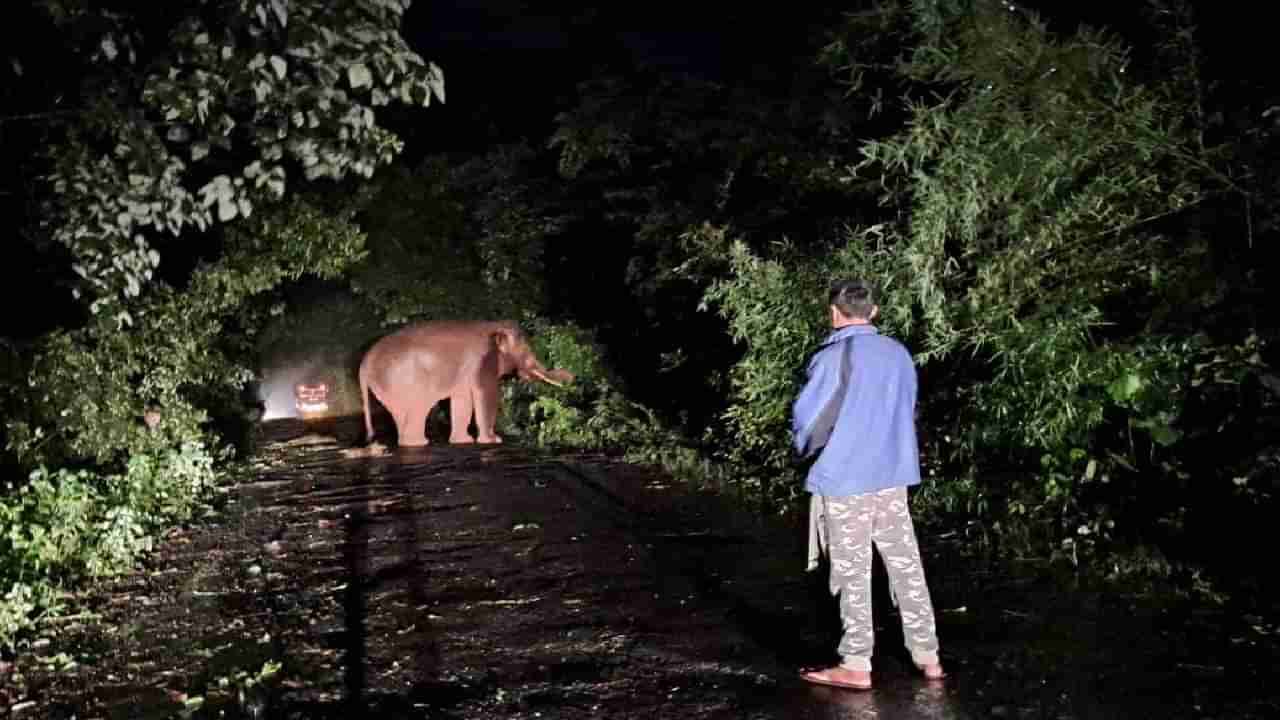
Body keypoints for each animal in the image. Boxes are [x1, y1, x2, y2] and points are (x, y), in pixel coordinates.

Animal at [358, 317, 573, 443]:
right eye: (525, 352)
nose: (572, 377)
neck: (493, 325)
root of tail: (363, 365)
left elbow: (462, 399)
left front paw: (464, 441)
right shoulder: (483, 362)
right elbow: (487, 394)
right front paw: (493, 440)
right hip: (404, 383)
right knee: (418, 409)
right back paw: (420, 443)